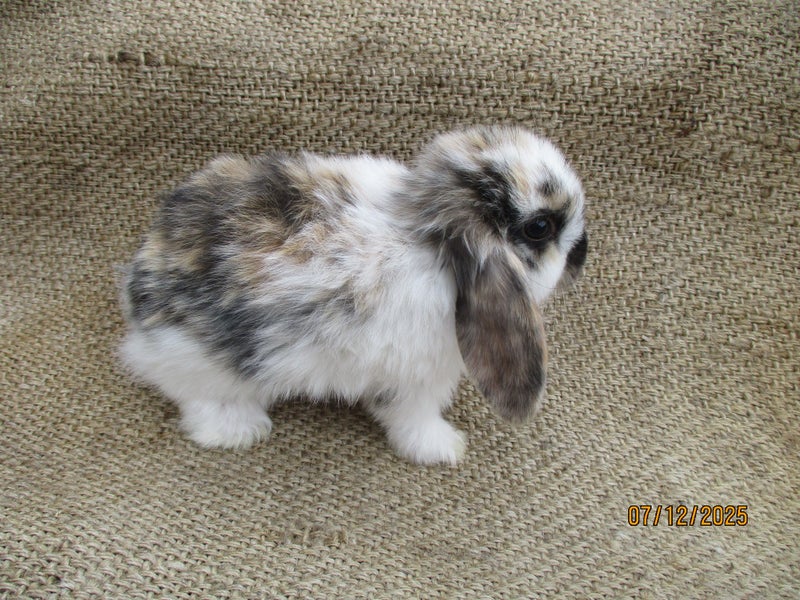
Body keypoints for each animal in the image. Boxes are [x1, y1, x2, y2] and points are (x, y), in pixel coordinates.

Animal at [119, 125, 587, 465]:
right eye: (540, 228)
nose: (582, 255)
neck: (431, 240)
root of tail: (138, 297)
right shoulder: (416, 382)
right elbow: (415, 420)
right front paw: (444, 448)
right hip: (210, 366)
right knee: (195, 400)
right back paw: (237, 431)